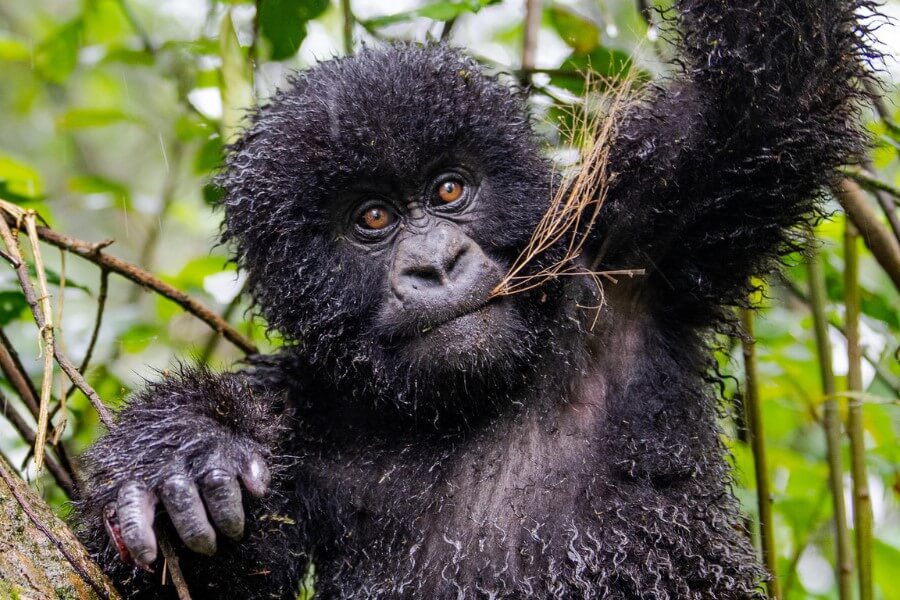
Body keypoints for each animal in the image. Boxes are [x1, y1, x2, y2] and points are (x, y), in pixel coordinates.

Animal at [75, 0, 877, 598]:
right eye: (373, 219)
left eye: (450, 189)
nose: (437, 263)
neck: (472, 403)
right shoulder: (298, 415)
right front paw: (182, 448)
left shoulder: (638, 232)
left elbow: (772, 86)